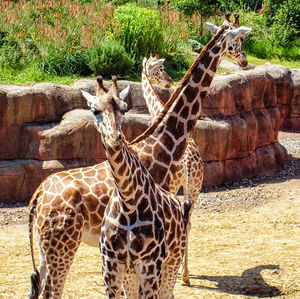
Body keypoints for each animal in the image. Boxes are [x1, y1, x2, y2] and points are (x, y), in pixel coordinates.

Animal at [88, 75, 189, 299]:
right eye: (94, 110)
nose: (115, 137)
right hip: (132, 273)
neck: (128, 200)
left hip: (172, 261)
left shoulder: (151, 266)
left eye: (124, 108)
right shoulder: (111, 267)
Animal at [142, 51, 204, 286]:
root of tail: (188, 165)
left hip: (180, 187)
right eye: (160, 69)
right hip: (193, 189)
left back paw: (181, 273)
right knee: (188, 222)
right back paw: (185, 274)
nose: (169, 81)